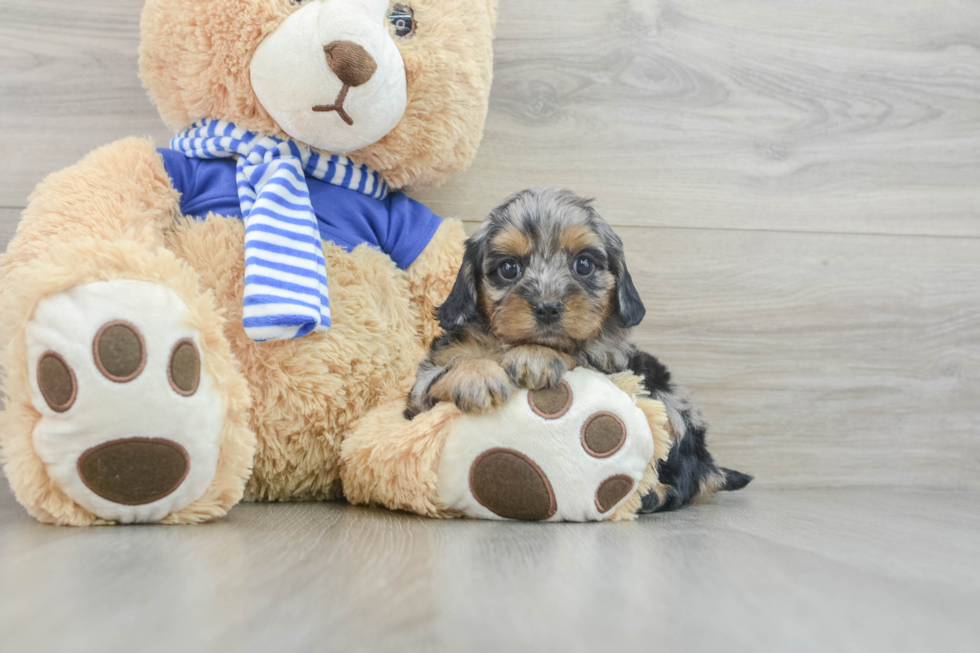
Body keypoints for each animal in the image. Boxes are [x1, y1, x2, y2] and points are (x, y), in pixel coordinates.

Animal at [406, 186, 752, 512]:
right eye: (509, 268)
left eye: (583, 264)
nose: (547, 307)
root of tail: (710, 466)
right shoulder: (420, 394)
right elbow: (444, 371)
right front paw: (477, 375)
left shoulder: (610, 360)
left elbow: (579, 350)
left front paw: (537, 357)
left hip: (668, 402)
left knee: (682, 479)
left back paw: (652, 495)